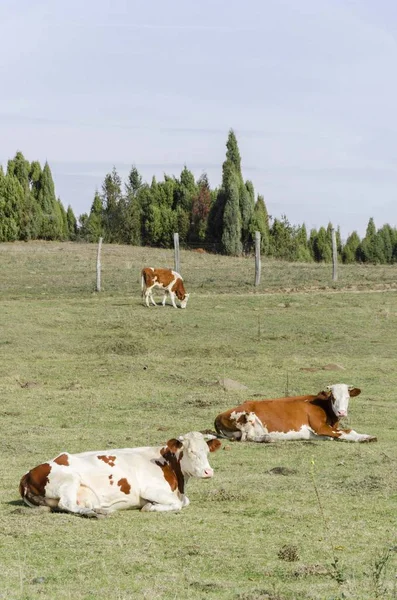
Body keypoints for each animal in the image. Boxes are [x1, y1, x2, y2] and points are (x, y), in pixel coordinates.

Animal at [19, 428, 220, 516]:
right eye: (191, 451)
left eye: (207, 451)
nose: (208, 472)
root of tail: (28, 473)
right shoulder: (151, 490)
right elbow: (177, 504)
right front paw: (150, 507)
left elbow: (185, 501)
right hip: (69, 480)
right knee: (66, 504)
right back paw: (96, 512)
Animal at [215, 384, 376, 440]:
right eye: (333, 397)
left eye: (348, 397)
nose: (342, 412)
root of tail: (219, 416)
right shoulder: (319, 427)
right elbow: (347, 432)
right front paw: (365, 437)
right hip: (248, 416)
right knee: (247, 437)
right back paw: (267, 438)